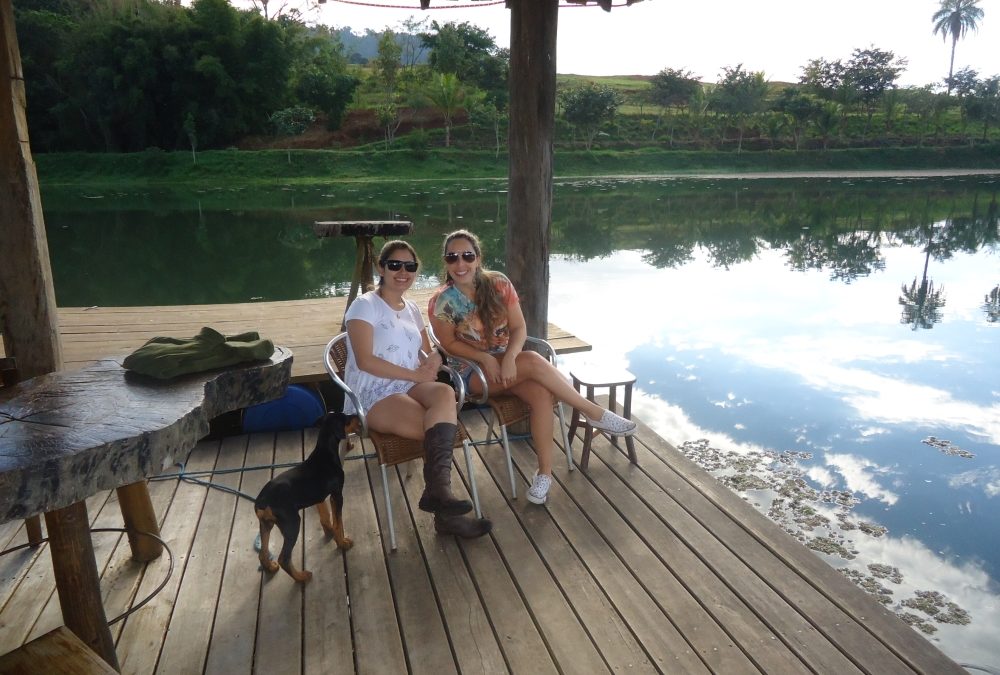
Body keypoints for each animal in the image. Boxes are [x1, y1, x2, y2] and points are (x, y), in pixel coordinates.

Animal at [254, 412, 357, 582]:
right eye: (346, 419)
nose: (356, 416)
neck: (325, 451)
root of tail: (262, 502)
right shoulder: (337, 495)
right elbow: (339, 522)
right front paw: (342, 542)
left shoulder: (320, 497)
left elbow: (325, 516)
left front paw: (329, 530)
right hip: (292, 523)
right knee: (284, 558)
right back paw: (301, 577)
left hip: (266, 524)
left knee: (263, 553)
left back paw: (270, 567)